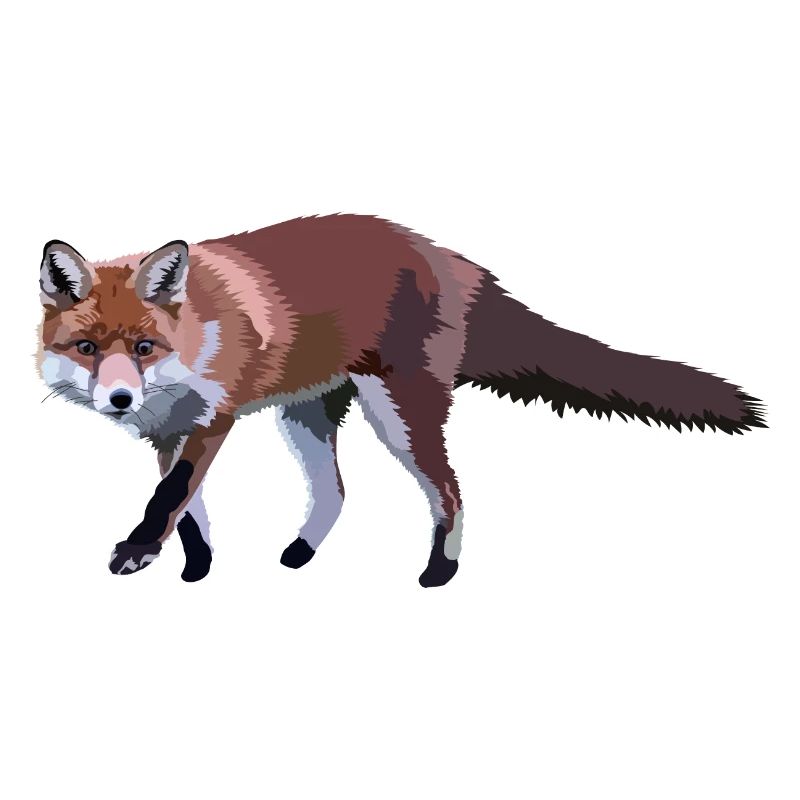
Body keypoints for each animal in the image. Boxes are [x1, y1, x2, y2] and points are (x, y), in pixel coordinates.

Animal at [38, 214, 766, 587]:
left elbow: (170, 497)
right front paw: (196, 565)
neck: (196, 335)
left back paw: (440, 571)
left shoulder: (212, 421)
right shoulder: (168, 432)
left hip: (399, 416)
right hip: (306, 417)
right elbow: (188, 509)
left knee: (450, 489)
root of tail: (446, 253)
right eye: (88, 349)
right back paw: (301, 555)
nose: (120, 398)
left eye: (143, 347)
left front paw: (139, 551)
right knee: (336, 491)